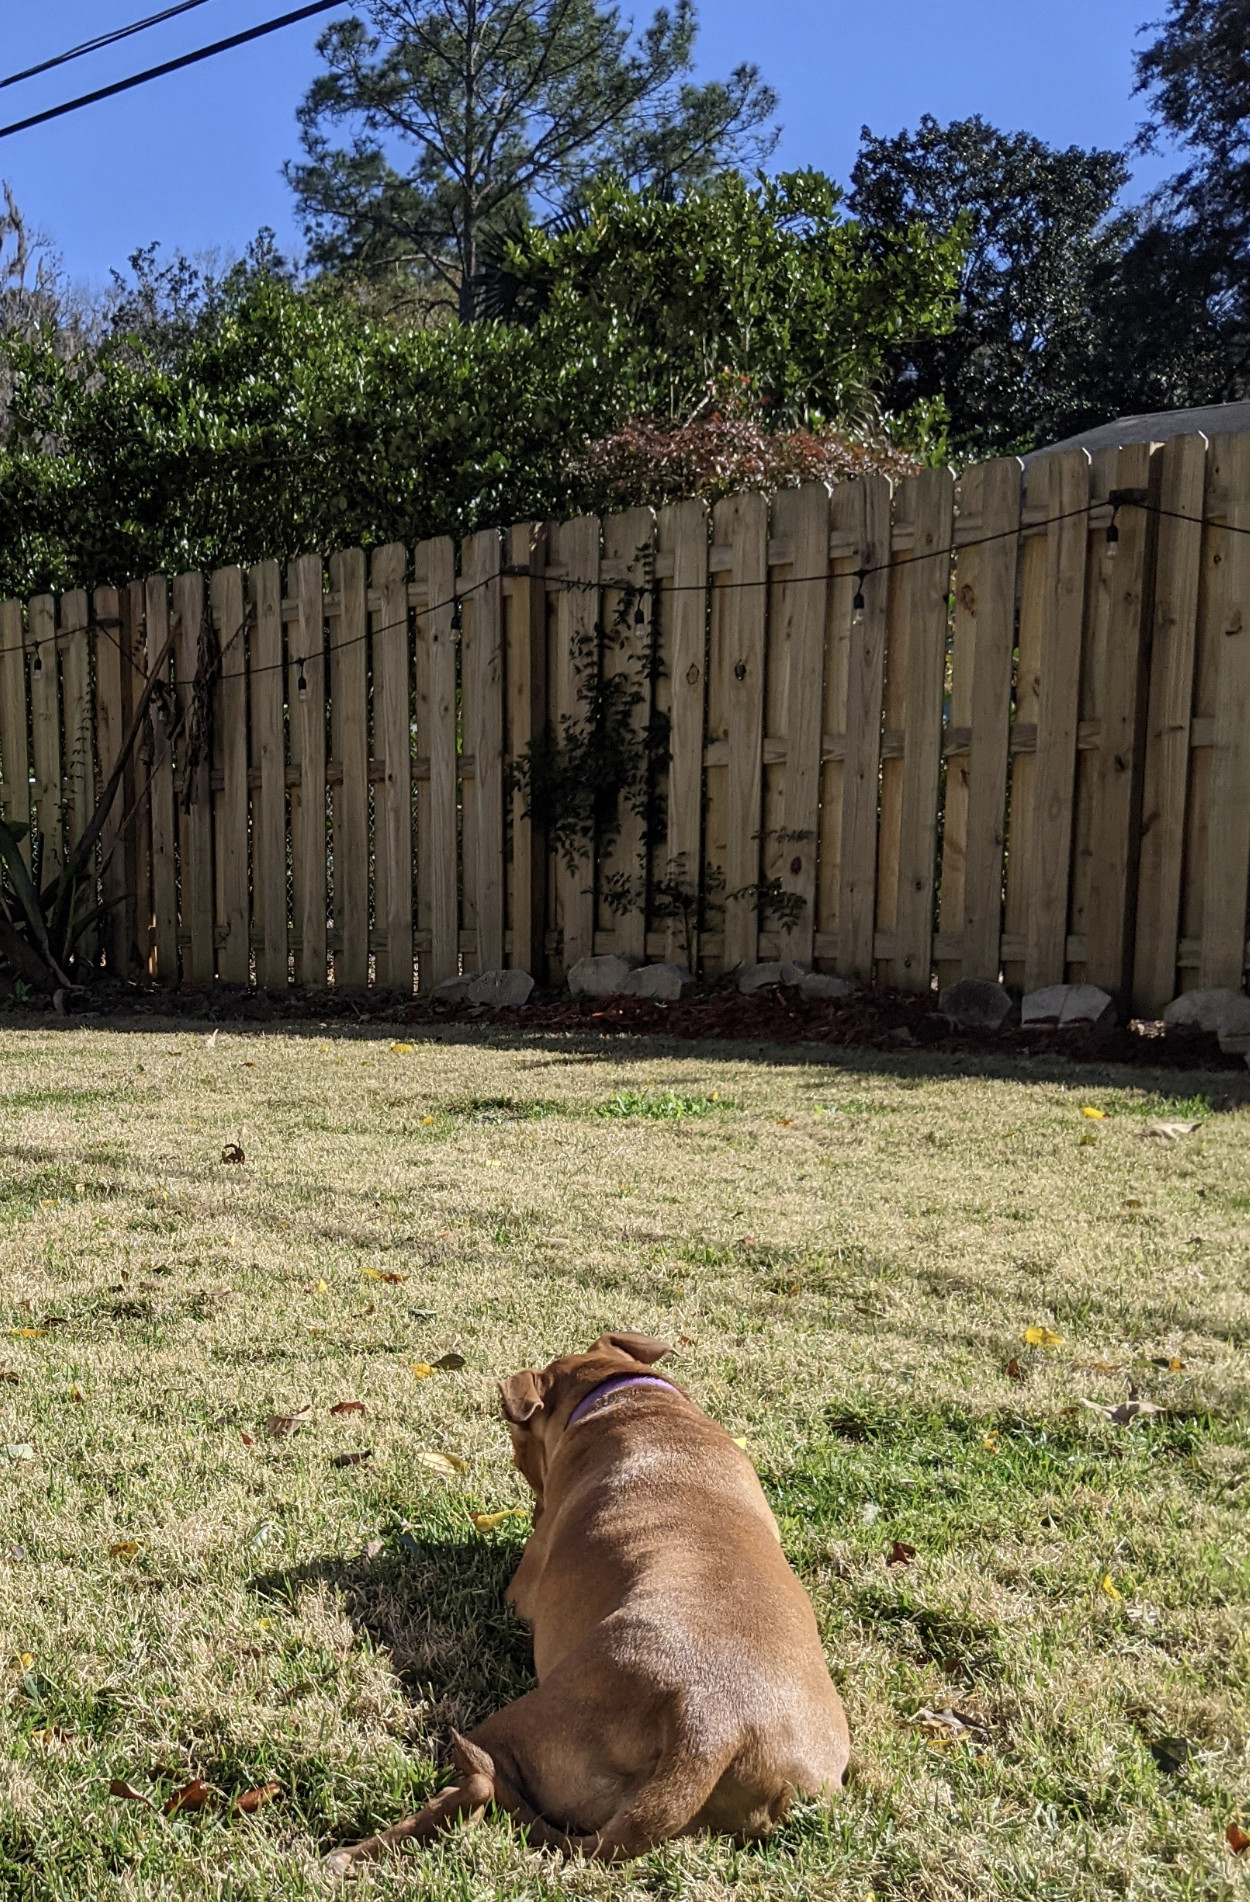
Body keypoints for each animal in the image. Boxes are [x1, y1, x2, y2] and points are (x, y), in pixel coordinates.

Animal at [327, 1339, 844, 1871]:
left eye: (517, 1444)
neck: (626, 1395)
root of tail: (709, 1728)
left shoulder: (521, 1590)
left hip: (520, 1728)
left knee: (481, 1786)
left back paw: (349, 1855)